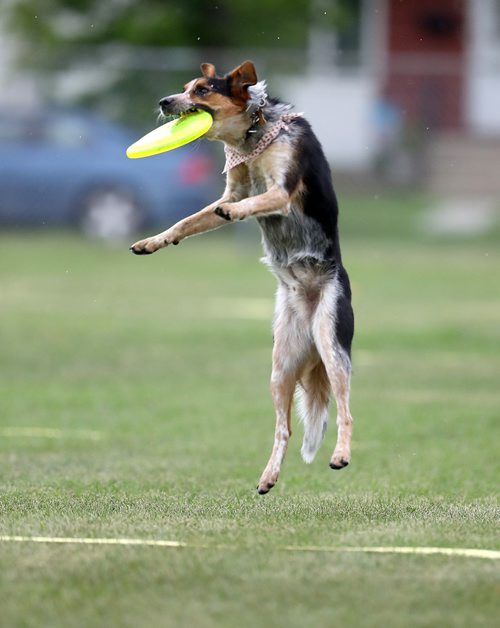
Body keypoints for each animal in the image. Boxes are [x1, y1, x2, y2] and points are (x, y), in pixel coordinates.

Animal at [131, 61, 354, 494]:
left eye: (202, 90)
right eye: (184, 86)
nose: (164, 101)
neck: (252, 139)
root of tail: (307, 311)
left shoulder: (281, 190)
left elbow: (257, 201)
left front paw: (236, 215)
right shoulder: (229, 192)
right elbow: (186, 222)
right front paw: (153, 241)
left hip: (331, 343)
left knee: (346, 411)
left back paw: (341, 455)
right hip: (280, 366)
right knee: (284, 429)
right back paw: (268, 477)